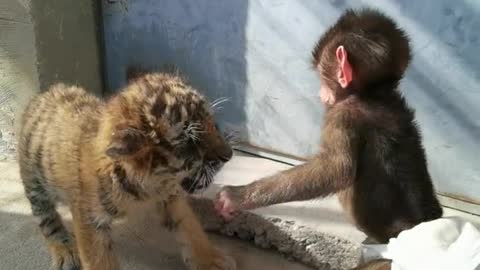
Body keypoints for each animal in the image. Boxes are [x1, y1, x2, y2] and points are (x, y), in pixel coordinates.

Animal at [216, 7, 440, 268]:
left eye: (322, 75)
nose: (319, 92)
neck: (373, 93)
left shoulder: (341, 114)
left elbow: (335, 169)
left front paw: (236, 197)